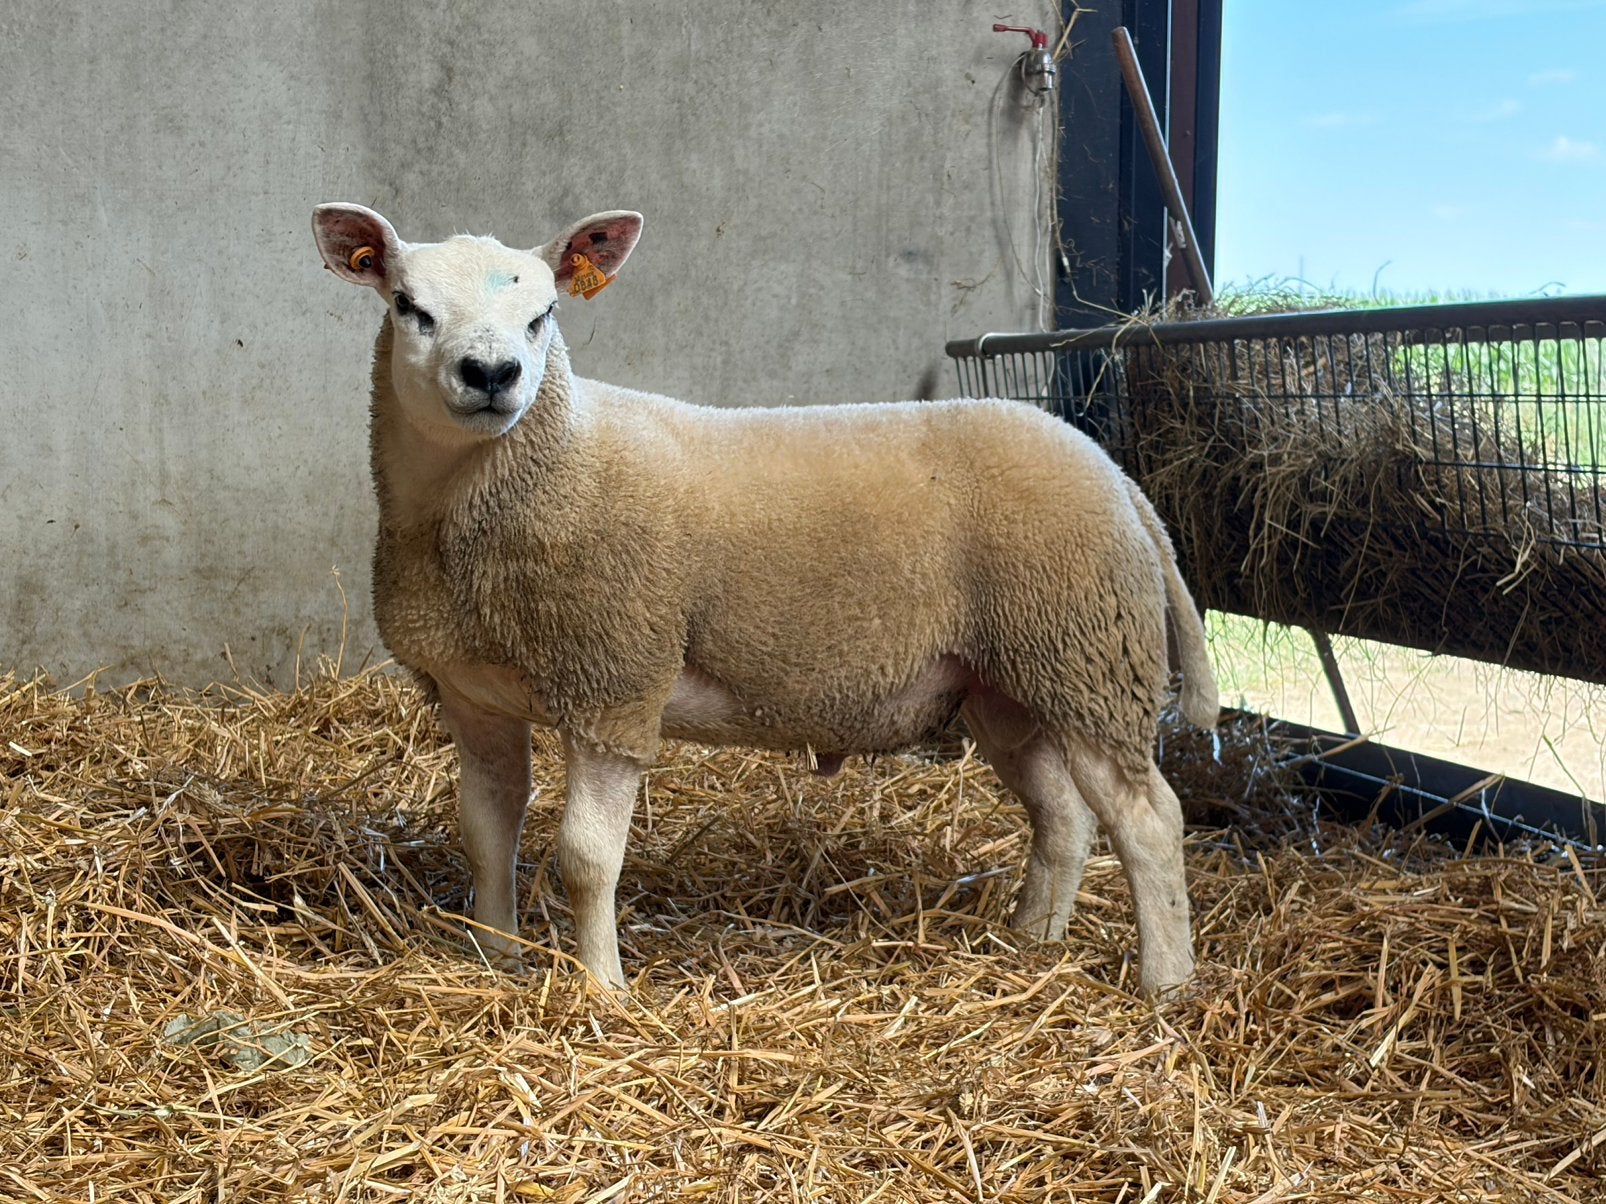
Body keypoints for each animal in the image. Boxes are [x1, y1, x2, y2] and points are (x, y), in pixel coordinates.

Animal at [311, 202, 1219, 996]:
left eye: (543, 316)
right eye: (409, 307)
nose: (493, 375)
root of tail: (1119, 480)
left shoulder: (616, 686)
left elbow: (586, 859)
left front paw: (601, 989)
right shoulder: (474, 696)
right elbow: (486, 831)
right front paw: (493, 956)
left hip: (1086, 656)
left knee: (1148, 821)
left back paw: (1166, 984)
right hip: (1008, 683)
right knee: (1064, 817)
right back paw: (1033, 940)